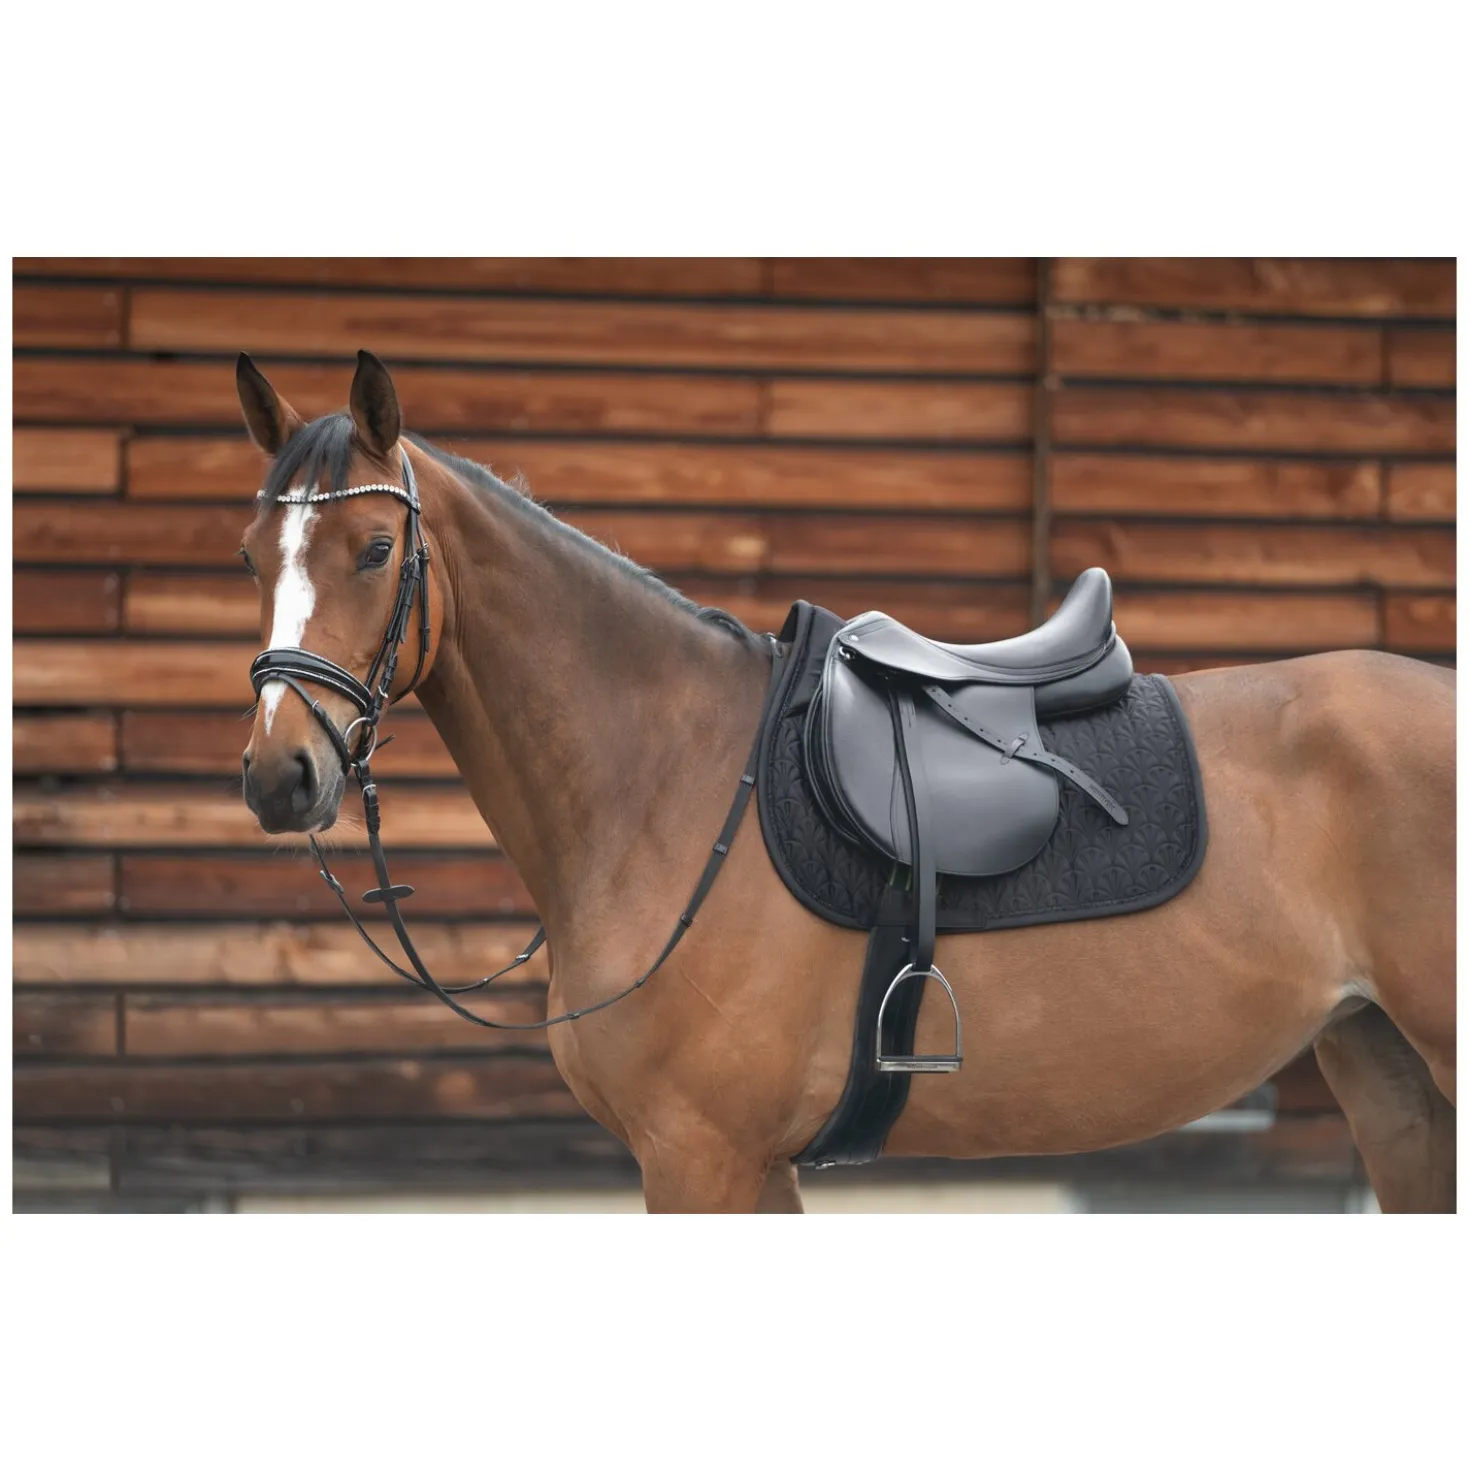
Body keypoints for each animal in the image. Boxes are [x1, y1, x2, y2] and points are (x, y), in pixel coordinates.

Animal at [235, 350, 1456, 1213]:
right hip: (1392, 1080)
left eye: (375, 551)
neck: (667, 789)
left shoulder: (701, 1157)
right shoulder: (747, 1162)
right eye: (252, 557)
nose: (278, 775)